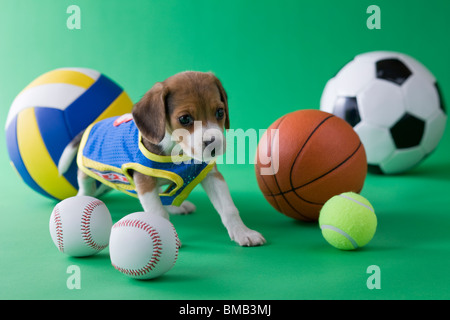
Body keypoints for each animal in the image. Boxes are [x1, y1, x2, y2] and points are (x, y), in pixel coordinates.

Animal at [69, 72, 266, 248]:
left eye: (219, 112)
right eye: (185, 118)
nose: (214, 144)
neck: (176, 151)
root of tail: (90, 127)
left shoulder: (210, 175)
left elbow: (229, 208)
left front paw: (243, 232)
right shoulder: (145, 182)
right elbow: (158, 213)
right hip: (86, 174)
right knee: (85, 188)